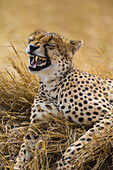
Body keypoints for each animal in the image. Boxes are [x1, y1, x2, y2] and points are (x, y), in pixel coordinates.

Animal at [14, 29, 113, 169]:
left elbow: (83, 141)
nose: (32, 47)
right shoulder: (37, 126)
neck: (51, 84)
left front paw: (64, 164)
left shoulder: (109, 115)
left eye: (50, 44)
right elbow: (23, 151)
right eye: (31, 40)